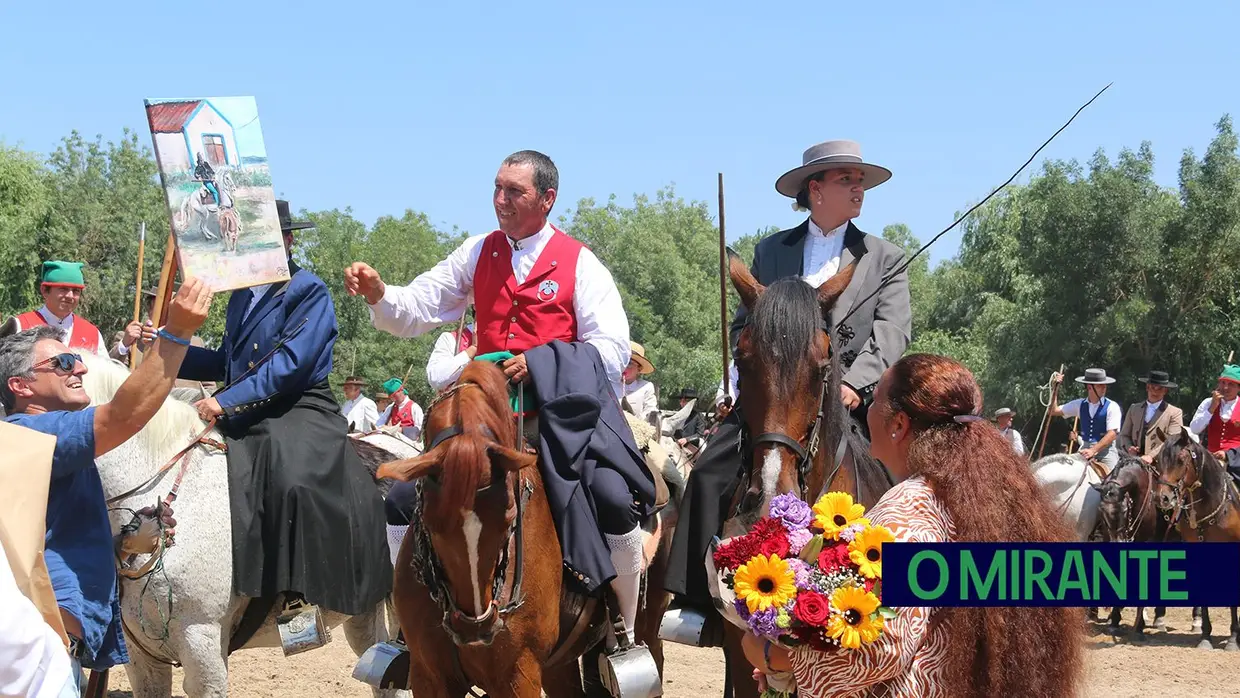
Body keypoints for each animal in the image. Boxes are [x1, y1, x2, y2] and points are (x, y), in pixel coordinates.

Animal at [376, 359, 674, 698]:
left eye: (509, 517)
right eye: (430, 520)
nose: (475, 628)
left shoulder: (518, 674)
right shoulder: (430, 675)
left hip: (648, 624)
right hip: (557, 665)